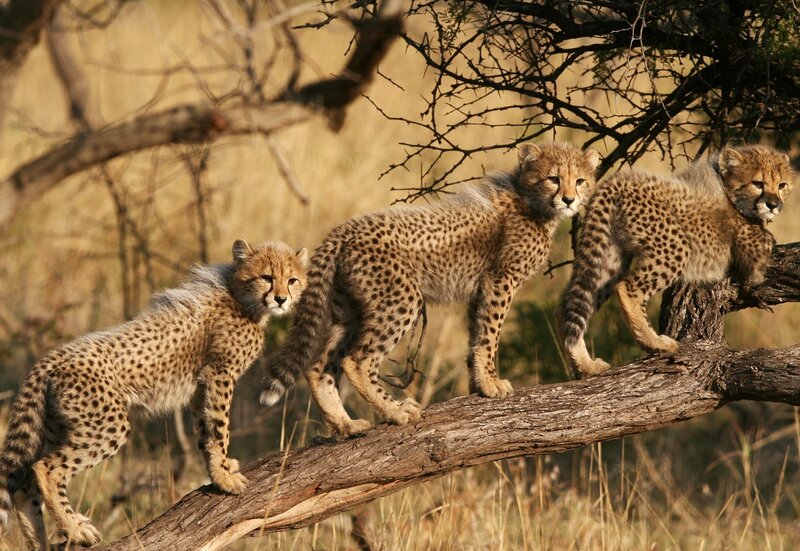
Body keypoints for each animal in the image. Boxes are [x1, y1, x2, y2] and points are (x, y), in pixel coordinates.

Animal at [0, 239, 307, 549]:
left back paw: (42, 541)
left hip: (56, 426)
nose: (281, 299)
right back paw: (76, 530)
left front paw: (218, 470)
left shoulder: (199, 386)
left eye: (292, 280)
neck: (239, 296)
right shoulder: (220, 373)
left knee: (23, 486)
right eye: (266, 277)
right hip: (107, 426)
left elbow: (204, 430)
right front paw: (224, 477)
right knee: (45, 468)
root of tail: (50, 358)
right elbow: (220, 428)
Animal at [260, 142, 601, 437]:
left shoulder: (481, 288)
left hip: (351, 311)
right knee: (356, 361)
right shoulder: (501, 280)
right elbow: (490, 335)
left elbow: (476, 335)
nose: (569, 199)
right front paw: (492, 383)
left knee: (319, 368)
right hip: (401, 299)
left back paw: (347, 425)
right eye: (553, 179)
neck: (530, 201)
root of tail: (344, 229)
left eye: (580, 181)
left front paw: (478, 385)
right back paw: (396, 411)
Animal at [558, 144, 794, 378]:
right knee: (627, 288)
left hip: (608, 256)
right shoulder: (747, 237)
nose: (773, 204)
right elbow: (763, 249)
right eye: (758, 183)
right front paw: (754, 278)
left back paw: (585, 364)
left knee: (571, 306)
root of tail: (619, 180)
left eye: (782, 185)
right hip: (675, 245)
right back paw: (655, 342)